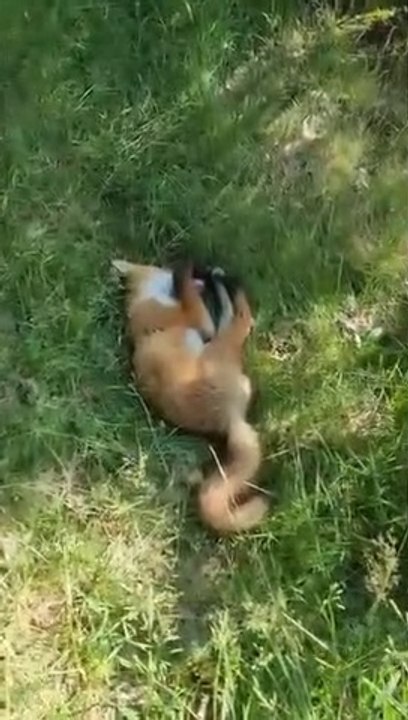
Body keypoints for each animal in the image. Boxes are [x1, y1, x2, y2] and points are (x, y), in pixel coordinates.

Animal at [112, 258, 269, 534]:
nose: (201, 275)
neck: (144, 300)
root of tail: (228, 420)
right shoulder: (198, 320)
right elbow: (192, 299)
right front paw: (189, 274)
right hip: (220, 348)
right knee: (240, 320)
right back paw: (231, 287)